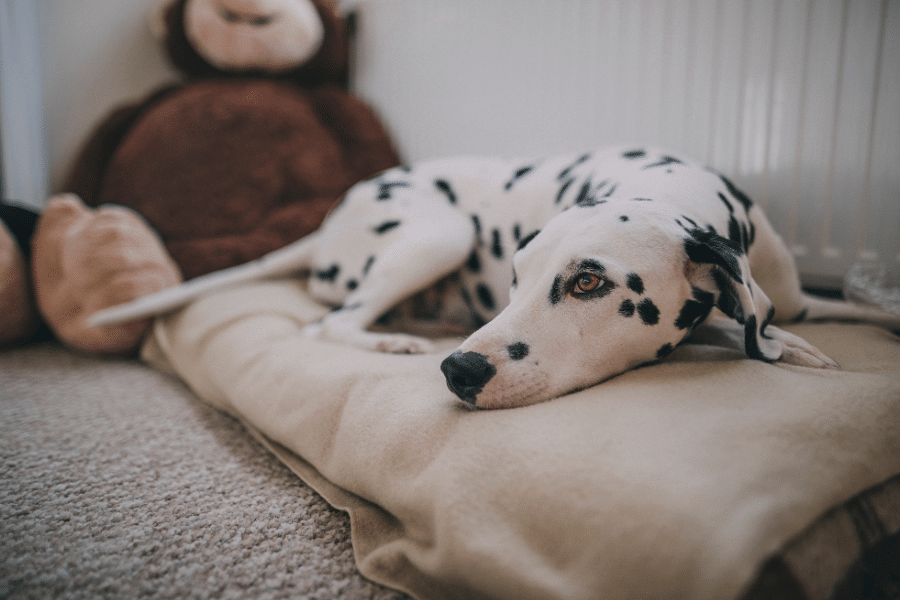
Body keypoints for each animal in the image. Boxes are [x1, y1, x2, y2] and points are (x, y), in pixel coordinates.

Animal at [93, 146, 900, 408]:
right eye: (516, 276)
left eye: (589, 283)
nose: (459, 370)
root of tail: (330, 220)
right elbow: (745, 328)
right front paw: (790, 349)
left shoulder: (793, 295)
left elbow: (822, 312)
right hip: (438, 232)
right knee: (330, 322)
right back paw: (392, 341)